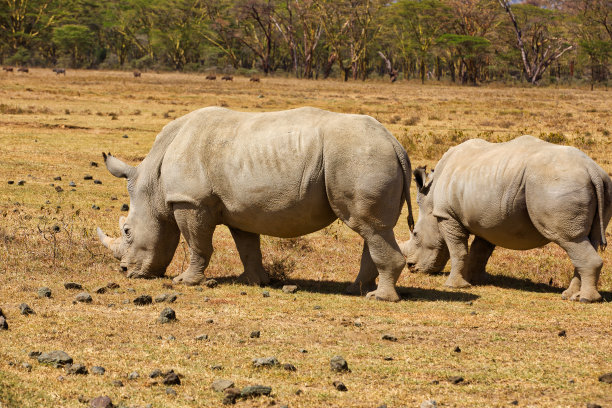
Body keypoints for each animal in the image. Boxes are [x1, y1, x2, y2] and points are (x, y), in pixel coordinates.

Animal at [98, 107, 416, 302]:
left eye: (127, 231)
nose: (125, 271)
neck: (153, 184)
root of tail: (395, 143)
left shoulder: (190, 201)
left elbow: (197, 244)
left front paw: (185, 282)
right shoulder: (239, 209)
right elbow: (248, 247)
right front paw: (254, 281)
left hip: (361, 156)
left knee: (369, 227)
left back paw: (378, 298)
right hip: (365, 155)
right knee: (372, 230)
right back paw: (356, 290)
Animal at [402, 135, 612, 302]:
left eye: (415, 234)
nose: (411, 267)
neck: (431, 202)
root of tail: (592, 169)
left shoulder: (448, 216)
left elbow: (458, 250)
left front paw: (455, 285)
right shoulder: (485, 222)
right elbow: (479, 252)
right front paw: (474, 280)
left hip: (557, 184)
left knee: (570, 240)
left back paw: (585, 299)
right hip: (598, 184)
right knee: (585, 241)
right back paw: (570, 295)